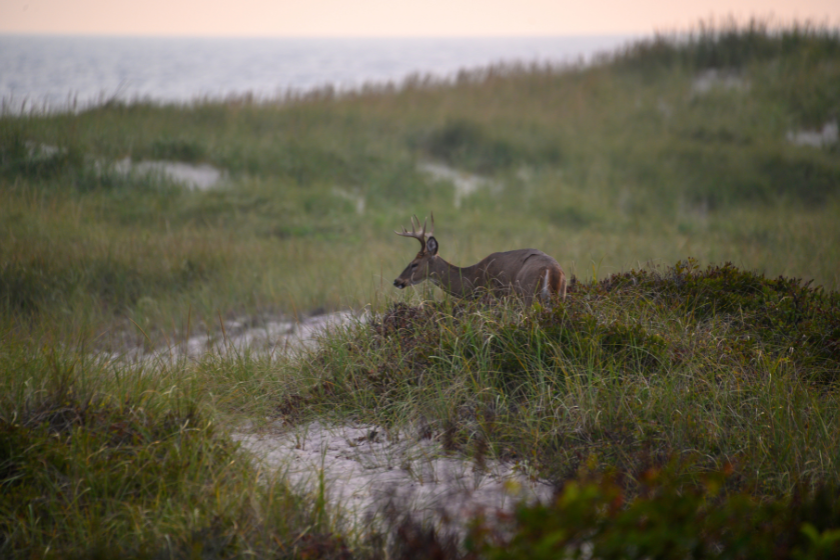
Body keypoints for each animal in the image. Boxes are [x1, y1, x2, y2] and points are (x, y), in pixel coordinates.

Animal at [392, 213, 564, 304]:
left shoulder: (491, 296)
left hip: (527, 294)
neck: (472, 278)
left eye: (414, 264)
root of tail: (552, 270)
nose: (397, 281)